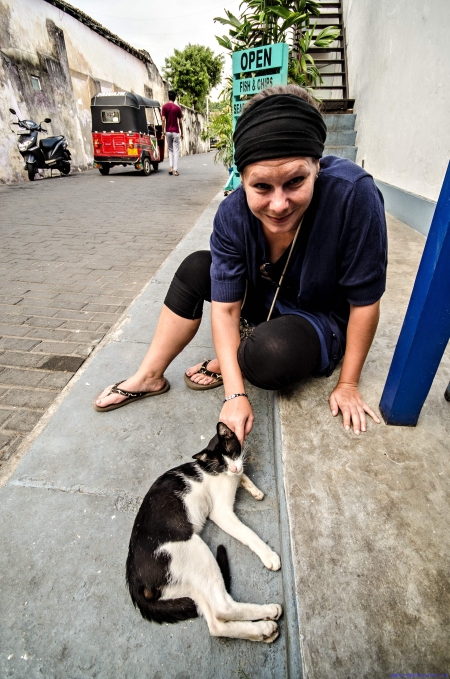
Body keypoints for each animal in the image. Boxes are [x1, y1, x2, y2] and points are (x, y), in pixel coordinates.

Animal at [125, 420, 282, 644]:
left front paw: (254, 489)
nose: (233, 467)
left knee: (216, 624)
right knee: (223, 608)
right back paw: (268, 614)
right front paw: (268, 555)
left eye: (231, 452)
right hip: (196, 552)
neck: (211, 469)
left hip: (188, 584)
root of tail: (134, 578)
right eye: (221, 464)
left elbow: (243, 475)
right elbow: (248, 534)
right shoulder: (221, 512)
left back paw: (263, 630)